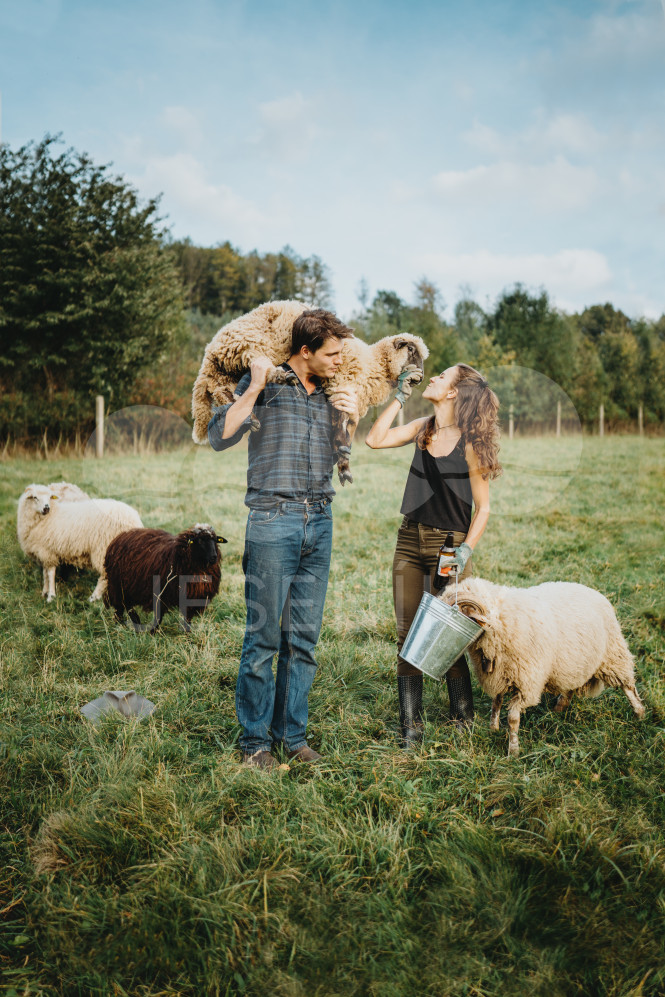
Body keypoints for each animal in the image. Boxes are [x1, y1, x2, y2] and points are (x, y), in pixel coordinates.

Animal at [189, 296, 428, 482]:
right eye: (411, 350)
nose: (421, 378)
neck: (374, 362)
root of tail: (211, 350)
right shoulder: (341, 385)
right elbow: (341, 425)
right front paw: (343, 459)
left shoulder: (350, 398)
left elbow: (345, 427)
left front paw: (342, 461)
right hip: (251, 346)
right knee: (253, 377)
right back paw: (280, 379)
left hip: (228, 371)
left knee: (223, 393)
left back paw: (249, 416)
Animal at [440, 576, 644, 756]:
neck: (500, 622)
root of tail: (594, 592)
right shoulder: (499, 675)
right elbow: (496, 703)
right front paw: (494, 729)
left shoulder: (526, 683)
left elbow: (513, 718)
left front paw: (513, 750)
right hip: (572, 663)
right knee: (570, 687)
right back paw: (559, 708)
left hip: (613, 655)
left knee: (629, 687)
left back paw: (640, 714)